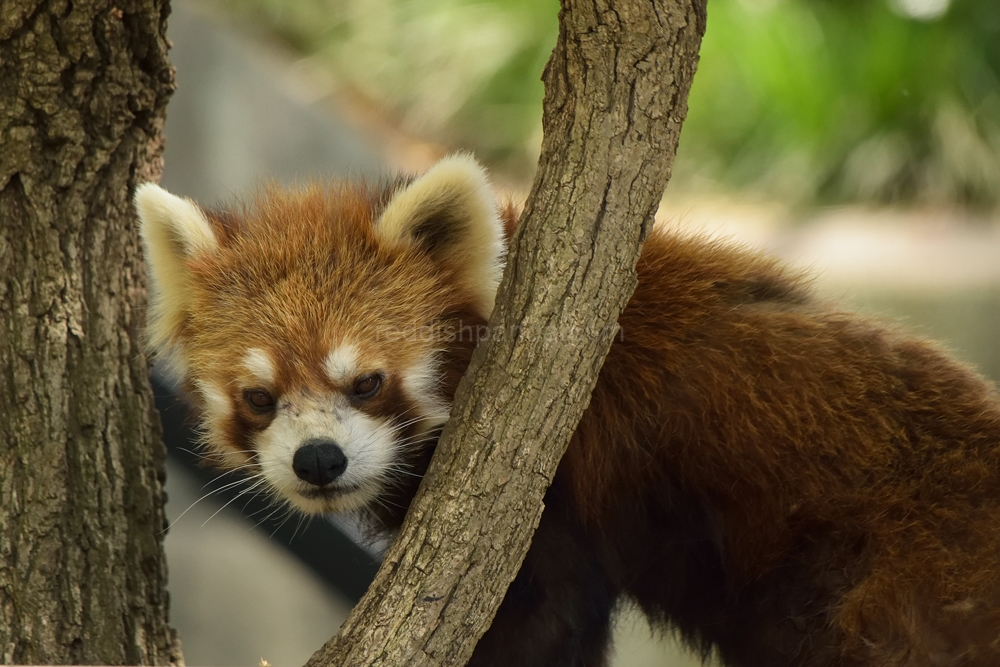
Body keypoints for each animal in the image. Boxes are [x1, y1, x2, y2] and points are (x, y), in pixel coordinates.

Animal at [139, 157, 1000, 667]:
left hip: (903, 591)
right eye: (259, 397)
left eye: (367, 382)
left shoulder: (542, 487)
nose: (319, 459)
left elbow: (542, 620)